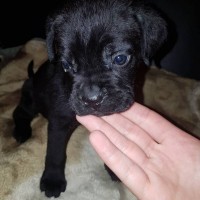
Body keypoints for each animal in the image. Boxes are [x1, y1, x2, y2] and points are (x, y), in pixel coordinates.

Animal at [12, 0, 167, 197]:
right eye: (66, 65)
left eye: (120, 59)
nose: (91, 99)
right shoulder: (59, 123)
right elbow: (55, 153)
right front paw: (53, 180)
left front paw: (114, 169)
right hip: (31, 98)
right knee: (20, 112)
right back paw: (21, 131)